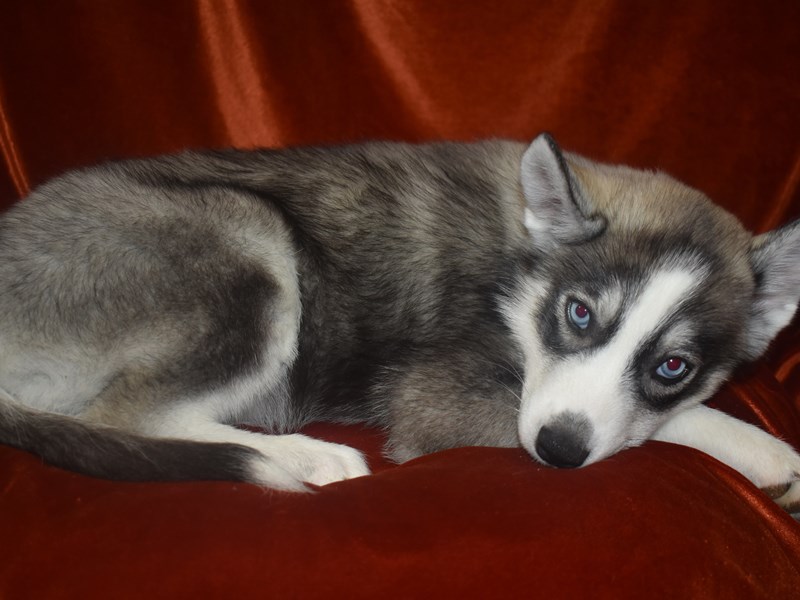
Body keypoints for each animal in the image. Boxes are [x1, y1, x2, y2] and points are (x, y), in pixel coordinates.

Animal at [1, 135, 800, 510]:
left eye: (673, 366)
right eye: (578, 313)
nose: (557, 451)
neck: (518, 275)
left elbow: (649, 417)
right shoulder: (436, 402)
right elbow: (658, 427)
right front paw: (765, 451)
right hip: (245, 233)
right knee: (124, 417)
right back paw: (308, 457)